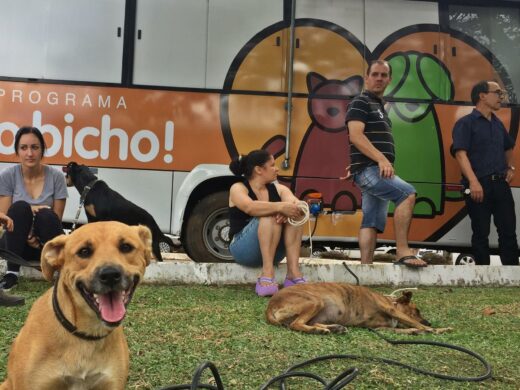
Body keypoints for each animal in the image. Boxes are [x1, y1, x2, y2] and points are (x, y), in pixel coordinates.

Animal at [266, 282, 448, 334]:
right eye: (417, 311)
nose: (429, 322)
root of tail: (270, 306)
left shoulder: (382, 329)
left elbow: (408, 328)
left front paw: (421, 330)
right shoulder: (392, 310)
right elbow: (413, 322)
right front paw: (435, 329)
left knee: (305, 323)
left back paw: (333, 328)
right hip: (316, 301)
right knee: (296, 324)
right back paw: (319, 330)